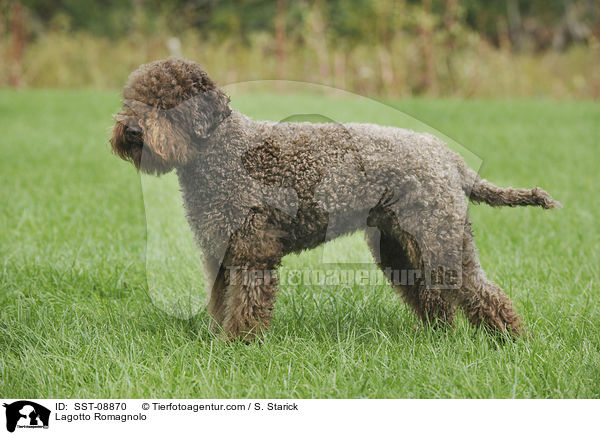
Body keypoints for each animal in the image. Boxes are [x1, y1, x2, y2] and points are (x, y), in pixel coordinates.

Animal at [110, 58, 560, 340]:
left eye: (166, 105)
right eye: (131, 100)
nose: (131, 130)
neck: (222, 151)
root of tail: (449, 157)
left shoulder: (253, 252)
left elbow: (246, 305)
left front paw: (237, 345)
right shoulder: (220, 253)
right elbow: (222, 302)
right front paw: (217, 339)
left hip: (440, 239)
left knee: (483, 293)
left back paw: (512, 342)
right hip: (399, 247)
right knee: (433, 297)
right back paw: (439, 337)